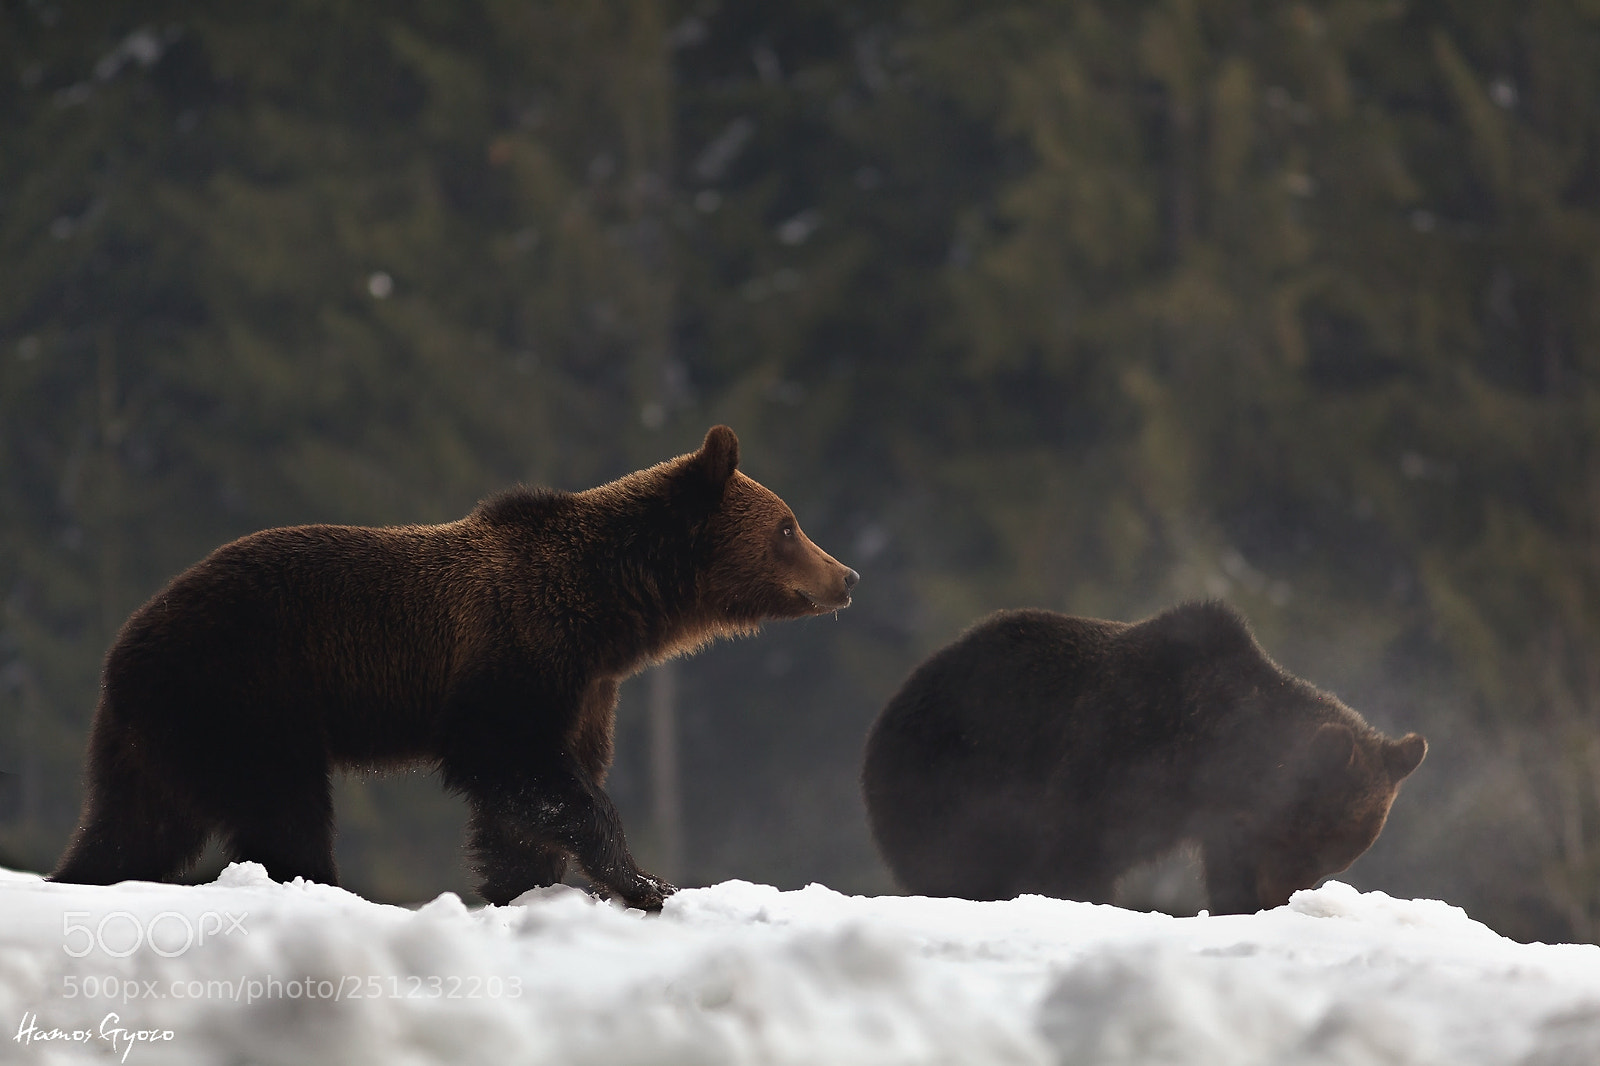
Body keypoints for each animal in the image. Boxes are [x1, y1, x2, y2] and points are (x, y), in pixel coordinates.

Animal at [51, 425, 857, 909]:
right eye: (788, 527)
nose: (847, 576)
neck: (611, 612)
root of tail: (126, 642)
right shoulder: (517, 658)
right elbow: (524, 770)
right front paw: (646, 881)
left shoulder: (588, 689)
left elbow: (527, 804)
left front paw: (527, 886)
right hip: (242, 693)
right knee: (284, 809)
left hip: (156, 735)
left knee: (135, 824)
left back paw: (79, 876)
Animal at [861, 602, 1426, 914]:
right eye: (1307, 840)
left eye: (1336, 858)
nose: (1278, 897)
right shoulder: (1111, 760)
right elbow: (1075, 853)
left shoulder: (1222, 822)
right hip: (947, 773)